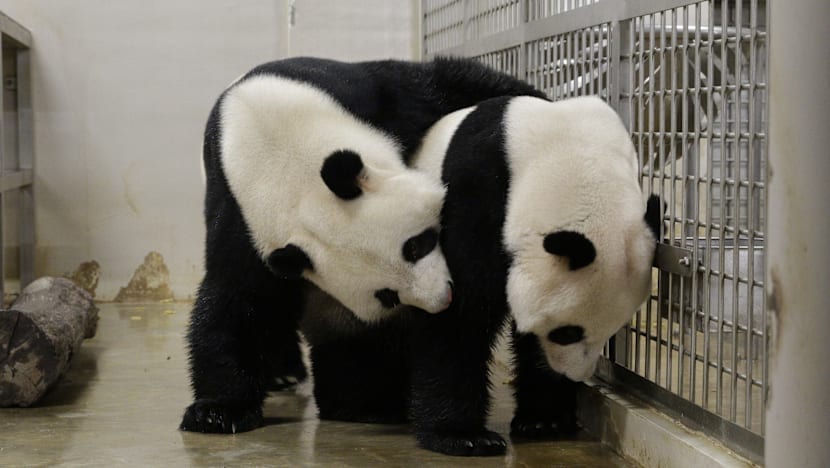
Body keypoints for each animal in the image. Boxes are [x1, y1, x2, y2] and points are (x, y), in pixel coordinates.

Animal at [181, 57, 544, 434]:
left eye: (416, 246)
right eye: (386, 295)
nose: (442, 299)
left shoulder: (376, 99)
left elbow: (444, 85)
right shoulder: (243, 218)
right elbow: (239, 299)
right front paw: (219, 410)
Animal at [307, 95, 663, 456]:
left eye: (612, 331)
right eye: (566, 333)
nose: (574, 374)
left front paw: (543, 420)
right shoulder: (476, 190)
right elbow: (461, 313)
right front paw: (463, 436)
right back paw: (364, 405)